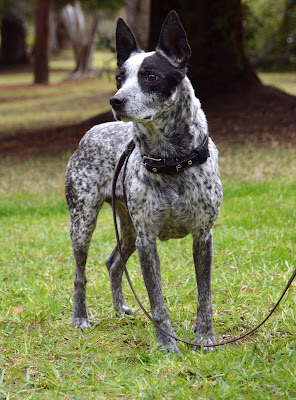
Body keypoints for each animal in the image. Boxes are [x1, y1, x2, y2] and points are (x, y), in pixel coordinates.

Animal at [65, 10, 222, 354]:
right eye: (119, 78)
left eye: (151, 76)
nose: (116, 100)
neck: (172, 161)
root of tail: (90, 133)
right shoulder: (147, 240)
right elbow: (157, 301)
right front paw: (167, 344)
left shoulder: (203, 236)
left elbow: (204, 296)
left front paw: (205, 337)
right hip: (84, 223)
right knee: (80, 274)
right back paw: (80, 318)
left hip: (127, 231)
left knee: (113, 262)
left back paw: (120, 308)